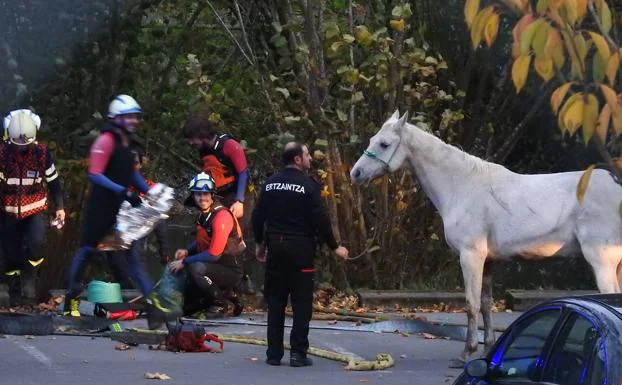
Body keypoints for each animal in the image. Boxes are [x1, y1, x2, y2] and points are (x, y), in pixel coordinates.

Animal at [352, 109, 622, 366]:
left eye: (384, 144)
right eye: (373, 140)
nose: (356, 173)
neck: (462, 187)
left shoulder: (471, 256)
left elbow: (471, 304)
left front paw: (466, 353)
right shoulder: (489, 261)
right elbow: (485, 303)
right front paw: (488, 348)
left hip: (602, 261)